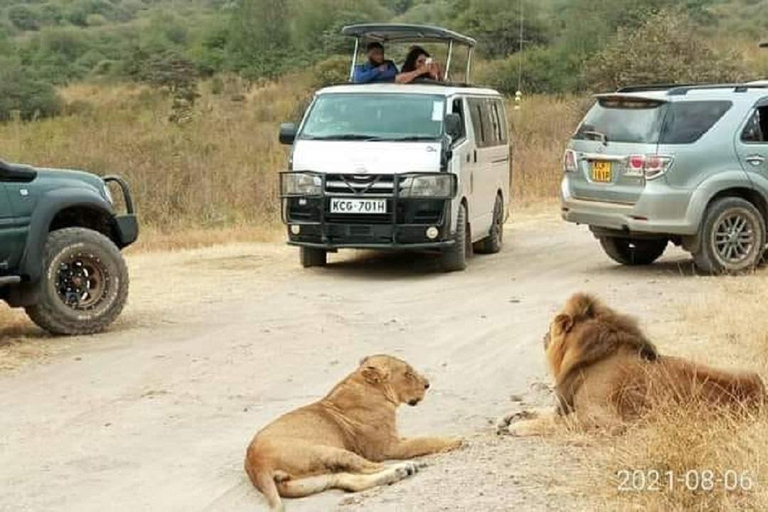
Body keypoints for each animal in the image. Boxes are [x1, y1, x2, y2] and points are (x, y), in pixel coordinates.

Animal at [246, 354, 462, 510]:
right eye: (407, 373)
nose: (427, 384)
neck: (366, 385)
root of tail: (255, 465)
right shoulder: (386, 447)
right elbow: (423, 441)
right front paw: (456, 440)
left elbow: (419, 440)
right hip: (328, 451)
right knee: (369, 467)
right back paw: (408, 466)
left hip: (311, 481)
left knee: (350, 481)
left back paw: (402, 472)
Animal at [500, 294, 764, 434]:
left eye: (551, 327)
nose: (543, 335)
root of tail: (762, 394)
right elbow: (545, 411)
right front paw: (511, 416)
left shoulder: (604, 419)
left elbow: (557, 421)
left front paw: (519, 426)